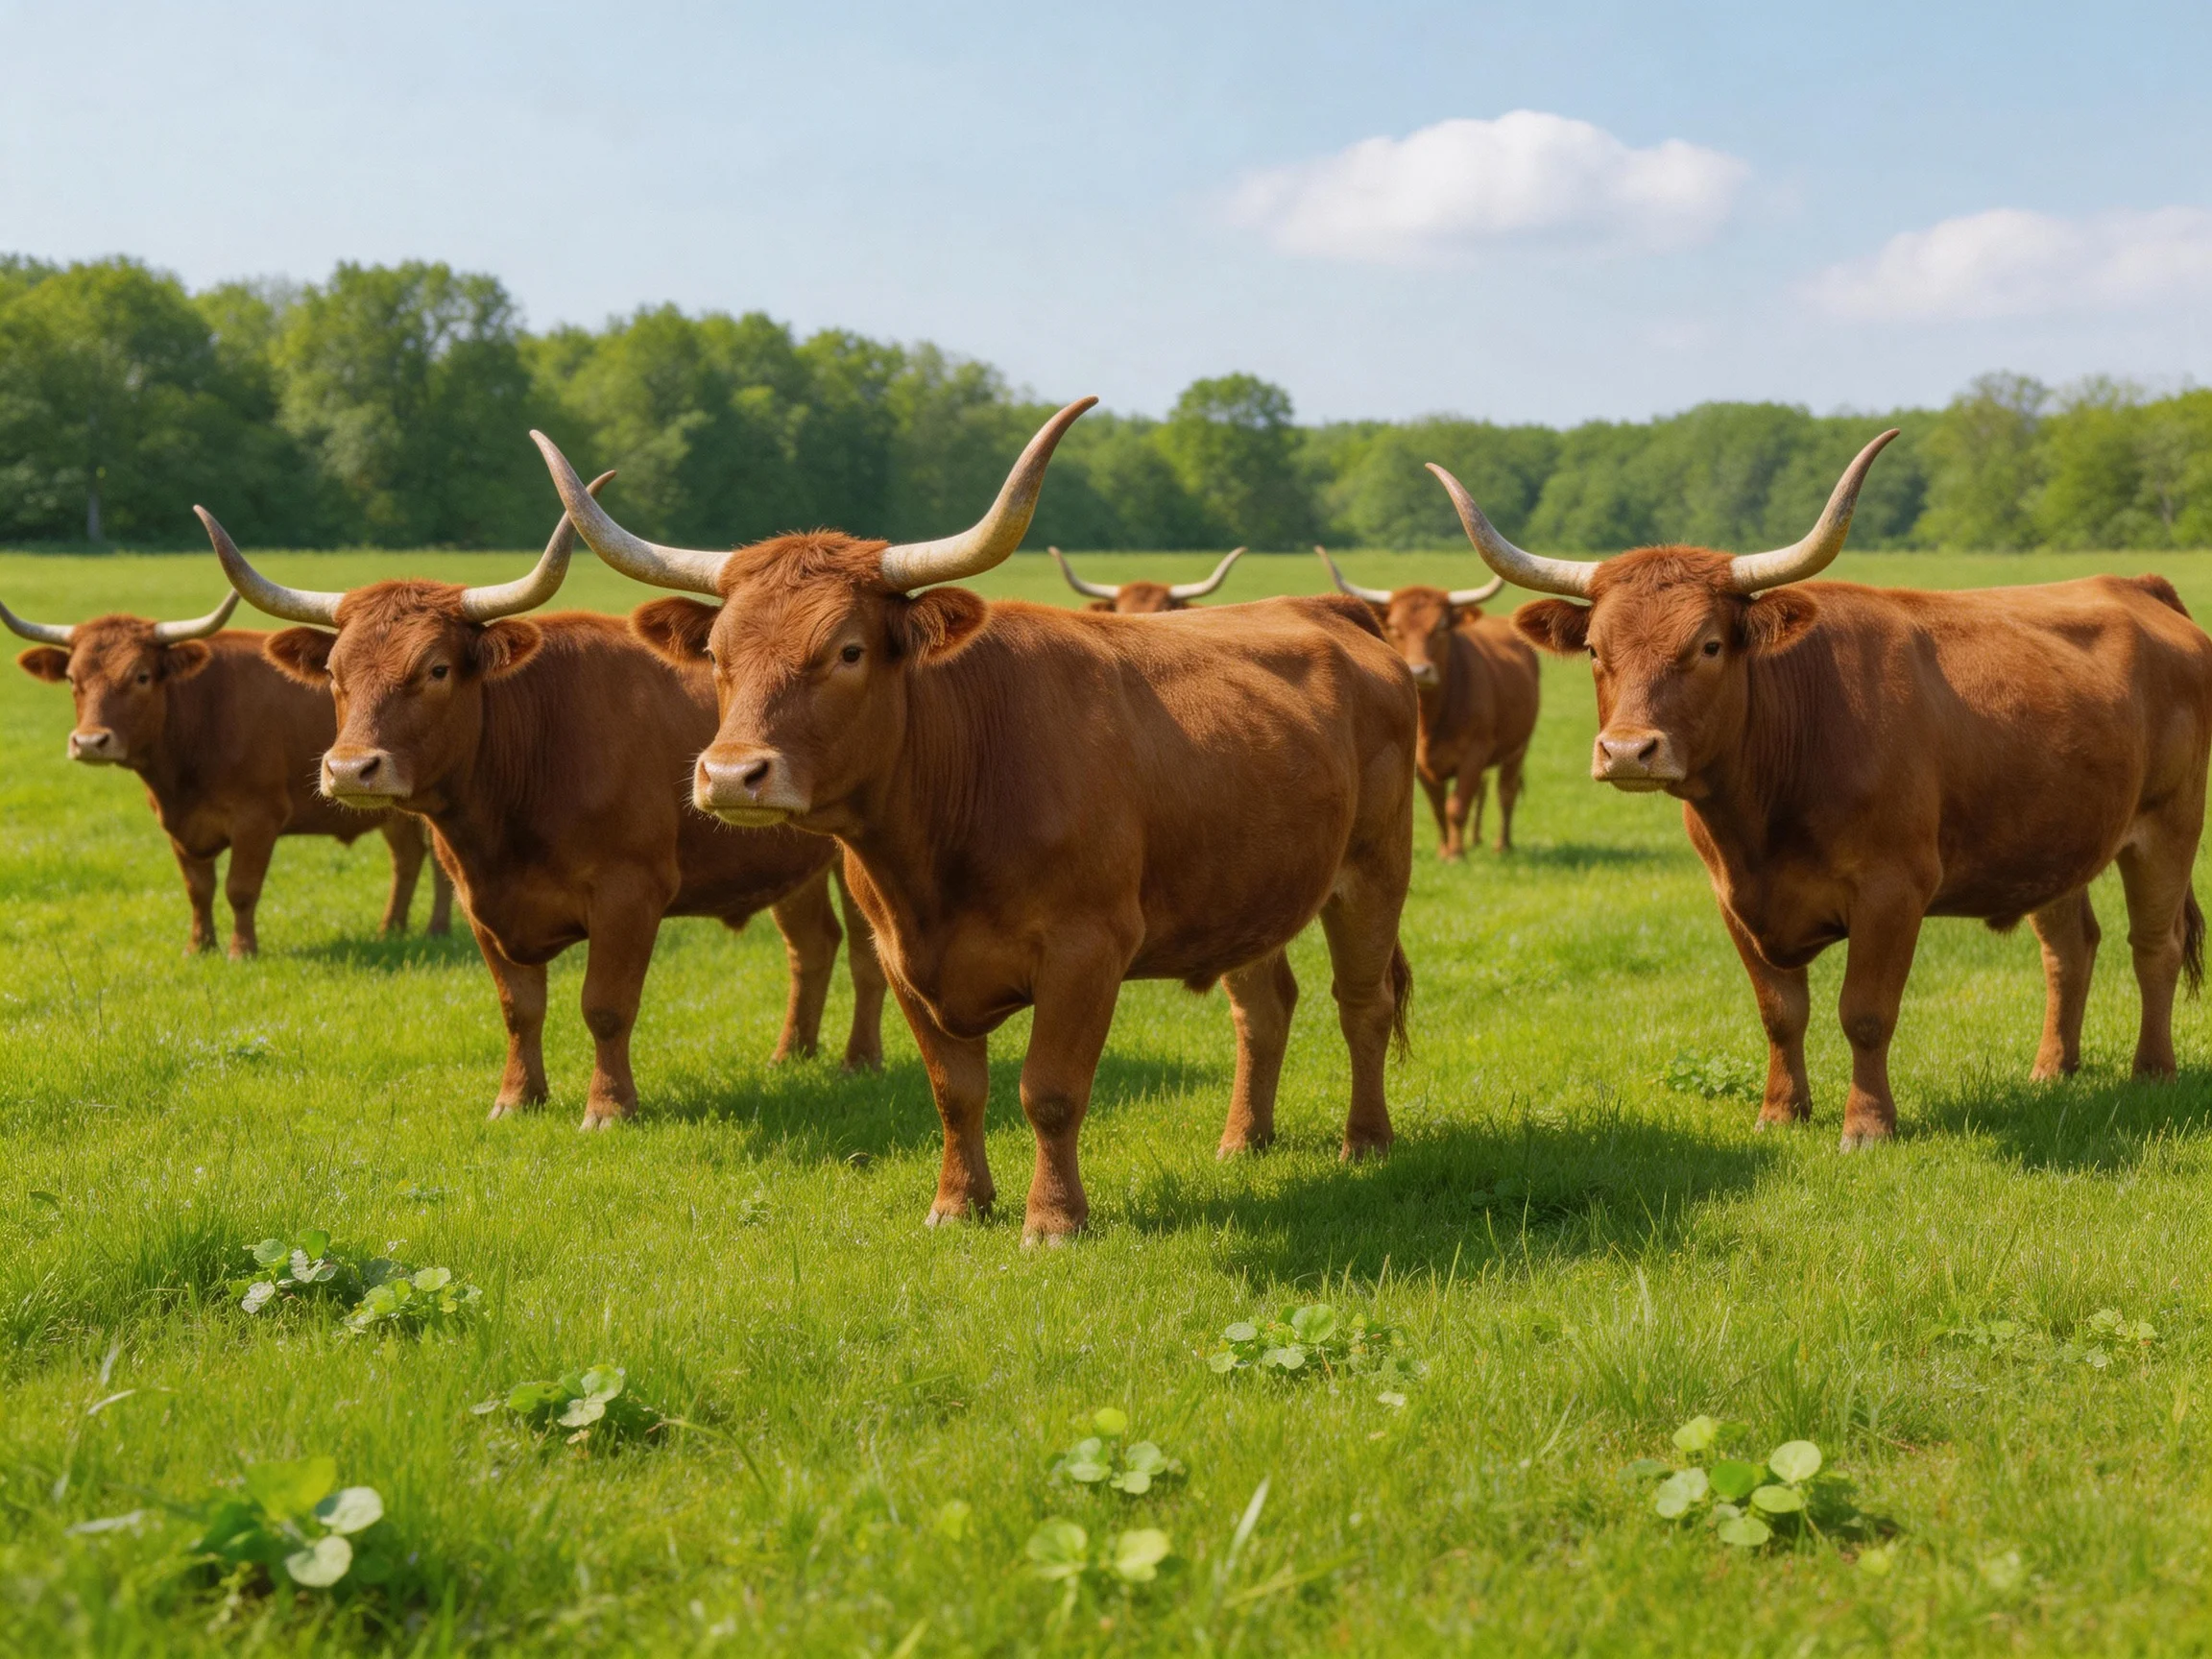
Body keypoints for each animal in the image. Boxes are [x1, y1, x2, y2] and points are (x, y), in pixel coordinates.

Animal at [8, 594, 452, 956]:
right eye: (72, 679)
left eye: (141, 676)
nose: (90, 742)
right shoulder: (178, 826)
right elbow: (198, 889)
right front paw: (199, 947)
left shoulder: (257, 819)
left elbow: (240, 888)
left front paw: (242, 950)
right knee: (406, 859)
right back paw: (390, 929)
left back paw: (437, 929)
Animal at [199, 484, 886, 1128]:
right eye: (334, 673)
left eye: (437, 669)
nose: (349, 769)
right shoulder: (479, 902)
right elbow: (519, 1006)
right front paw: (517, 1097)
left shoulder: (629, 893)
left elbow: (605, 1006)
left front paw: (608, 1107)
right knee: (812, 947)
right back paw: (790, 1055)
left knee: (864, 953)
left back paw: (859, 1061)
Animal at [1315, 546, 1541, 857]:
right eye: (1395, 628)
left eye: (1441, 627)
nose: (1420, 670)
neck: (1434, 717)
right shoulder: (1421, 764)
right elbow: (1438, 809)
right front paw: (1446, 850)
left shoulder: (1474, 753)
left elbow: (1456, 806)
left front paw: (1456, 854)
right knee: (1484, 790)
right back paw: (1476, 839)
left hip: (1518, 747)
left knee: (1505, 792)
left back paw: (1501, 845)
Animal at [1429, 432, 2212, 1147]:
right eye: (1595, 648)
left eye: (1709, 645)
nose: (1628, 751)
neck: (1759, 819)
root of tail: (2136, 587)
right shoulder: (1731, 898)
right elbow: (1781, 1012)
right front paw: (1781, 1112)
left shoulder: (1893, 889)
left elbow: (1864, 1012)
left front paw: (1866, 1126)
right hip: (2054, 845)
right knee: (2070, 948)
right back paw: (2053, 1069)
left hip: (2169, 827)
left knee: (2156, 944)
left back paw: (2152, 1070)